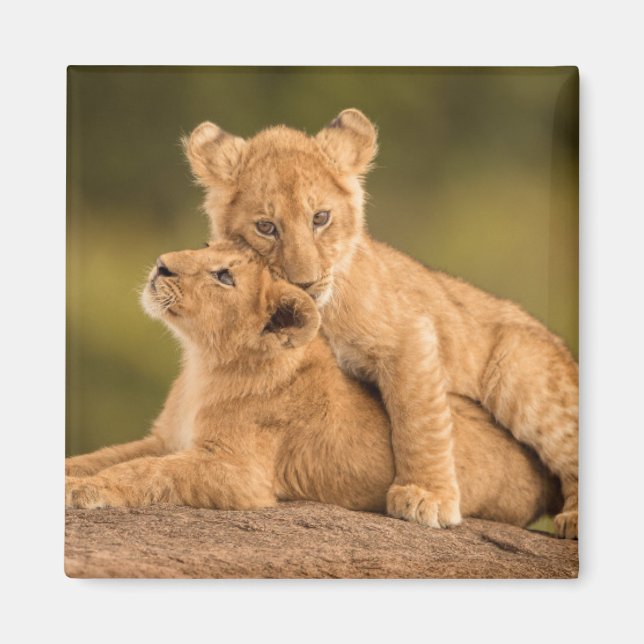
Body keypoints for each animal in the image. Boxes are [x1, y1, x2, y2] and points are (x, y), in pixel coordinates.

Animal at [65, 242, 561, 528]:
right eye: (204, 246)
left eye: (224, 276)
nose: (161, 265)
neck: (203, 363)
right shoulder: (165, 439)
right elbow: (108, 457)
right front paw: (74, 475)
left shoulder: (242, 475)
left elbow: (146, 471)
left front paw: (87, 491)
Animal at [183, 109, 579, 538]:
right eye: (266, 227)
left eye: (320, 218)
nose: (304, 282)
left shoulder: (409, 334)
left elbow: (418, 418)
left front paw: (427, 496)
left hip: (519, 369)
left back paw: (573, 519)